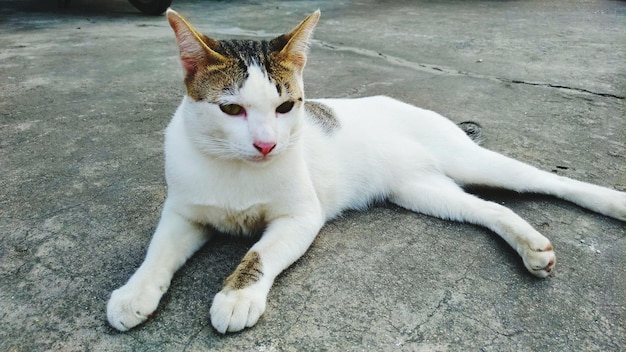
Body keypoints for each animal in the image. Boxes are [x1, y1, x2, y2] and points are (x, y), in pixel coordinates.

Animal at [107, 8, 624, 332]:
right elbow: (157, 253)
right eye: (230, 109)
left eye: (286, 106)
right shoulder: (183, 213)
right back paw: (532, 246)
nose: (267, 143)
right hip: (421, 191)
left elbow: (257, 255)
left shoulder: (301, 217)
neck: (235, 168)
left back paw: (613, 202)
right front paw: (135, 293)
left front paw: (237, 297)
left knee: (548, 180)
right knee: (489, 208)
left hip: (471, 161)